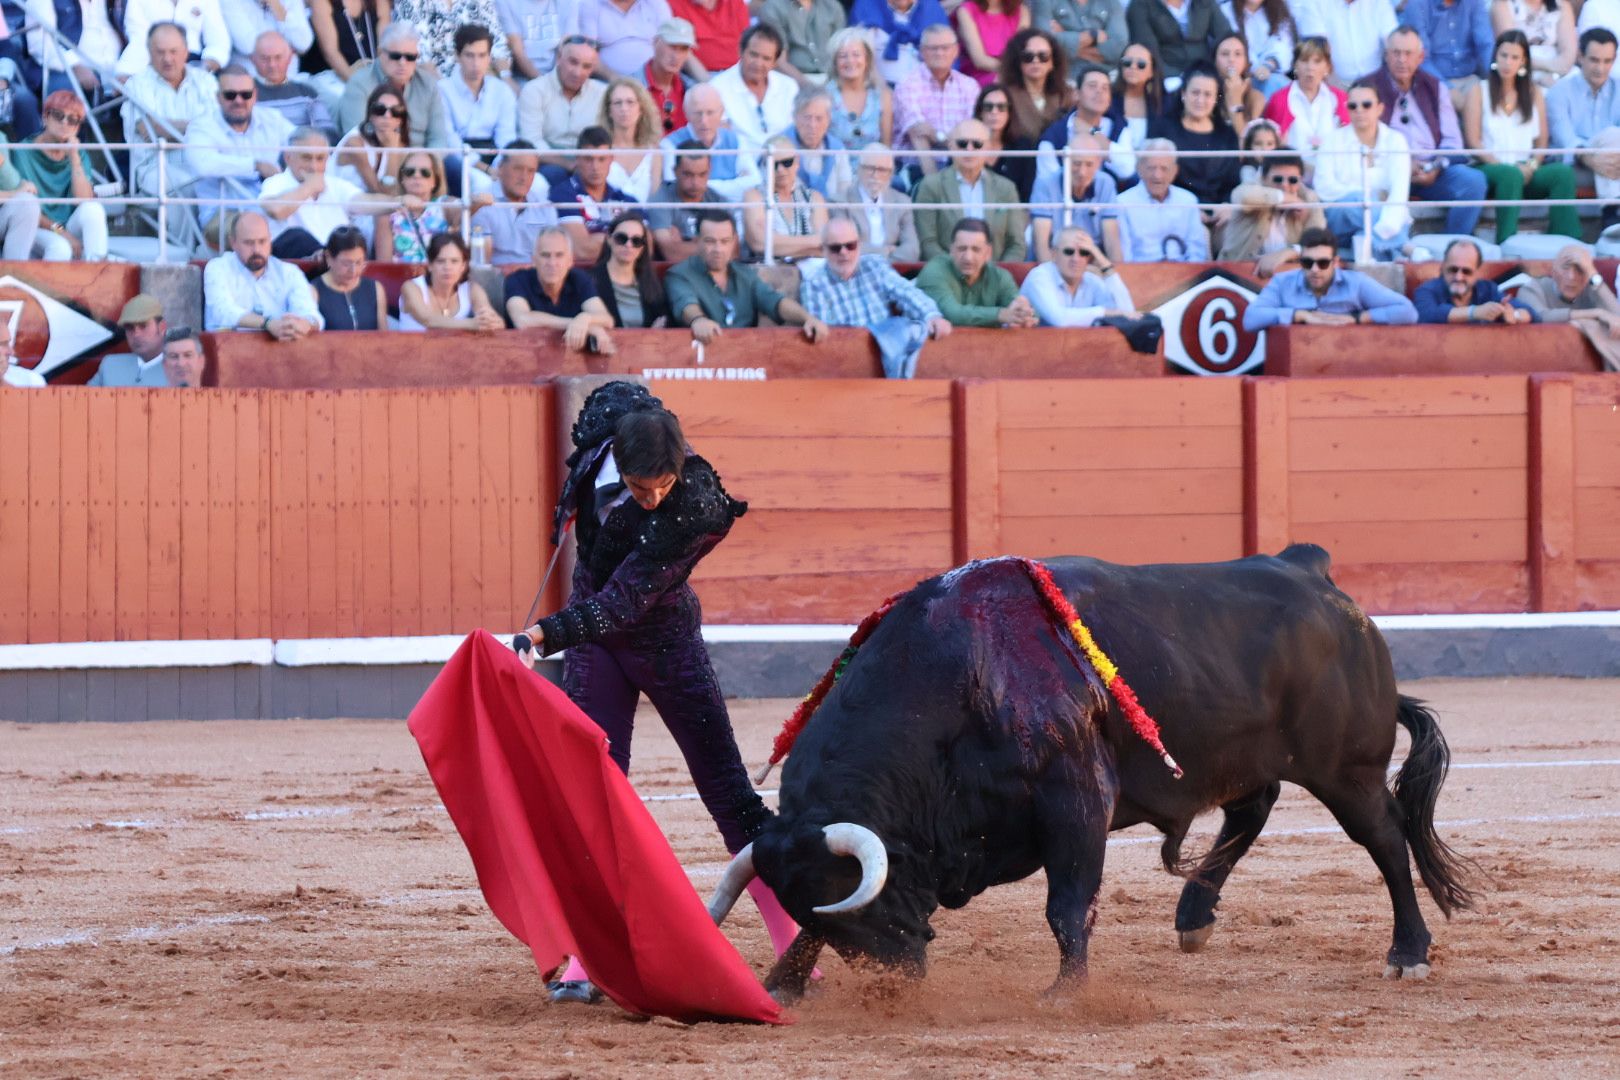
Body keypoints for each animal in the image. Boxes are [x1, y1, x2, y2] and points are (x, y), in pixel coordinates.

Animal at [703, 550, 1477, 1003]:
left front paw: (1064, 993)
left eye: (863, 905)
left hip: (1346, 766)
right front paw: (781, 984)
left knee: (1385, 837)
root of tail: (1314, 574)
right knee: (1250, 809)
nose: (896, 989)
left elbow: (1067, 904)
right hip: (1242, 752)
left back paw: (1408, 952)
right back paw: (1193, 919)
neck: (960, 678)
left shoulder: (1076, 802)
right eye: (817, 910)